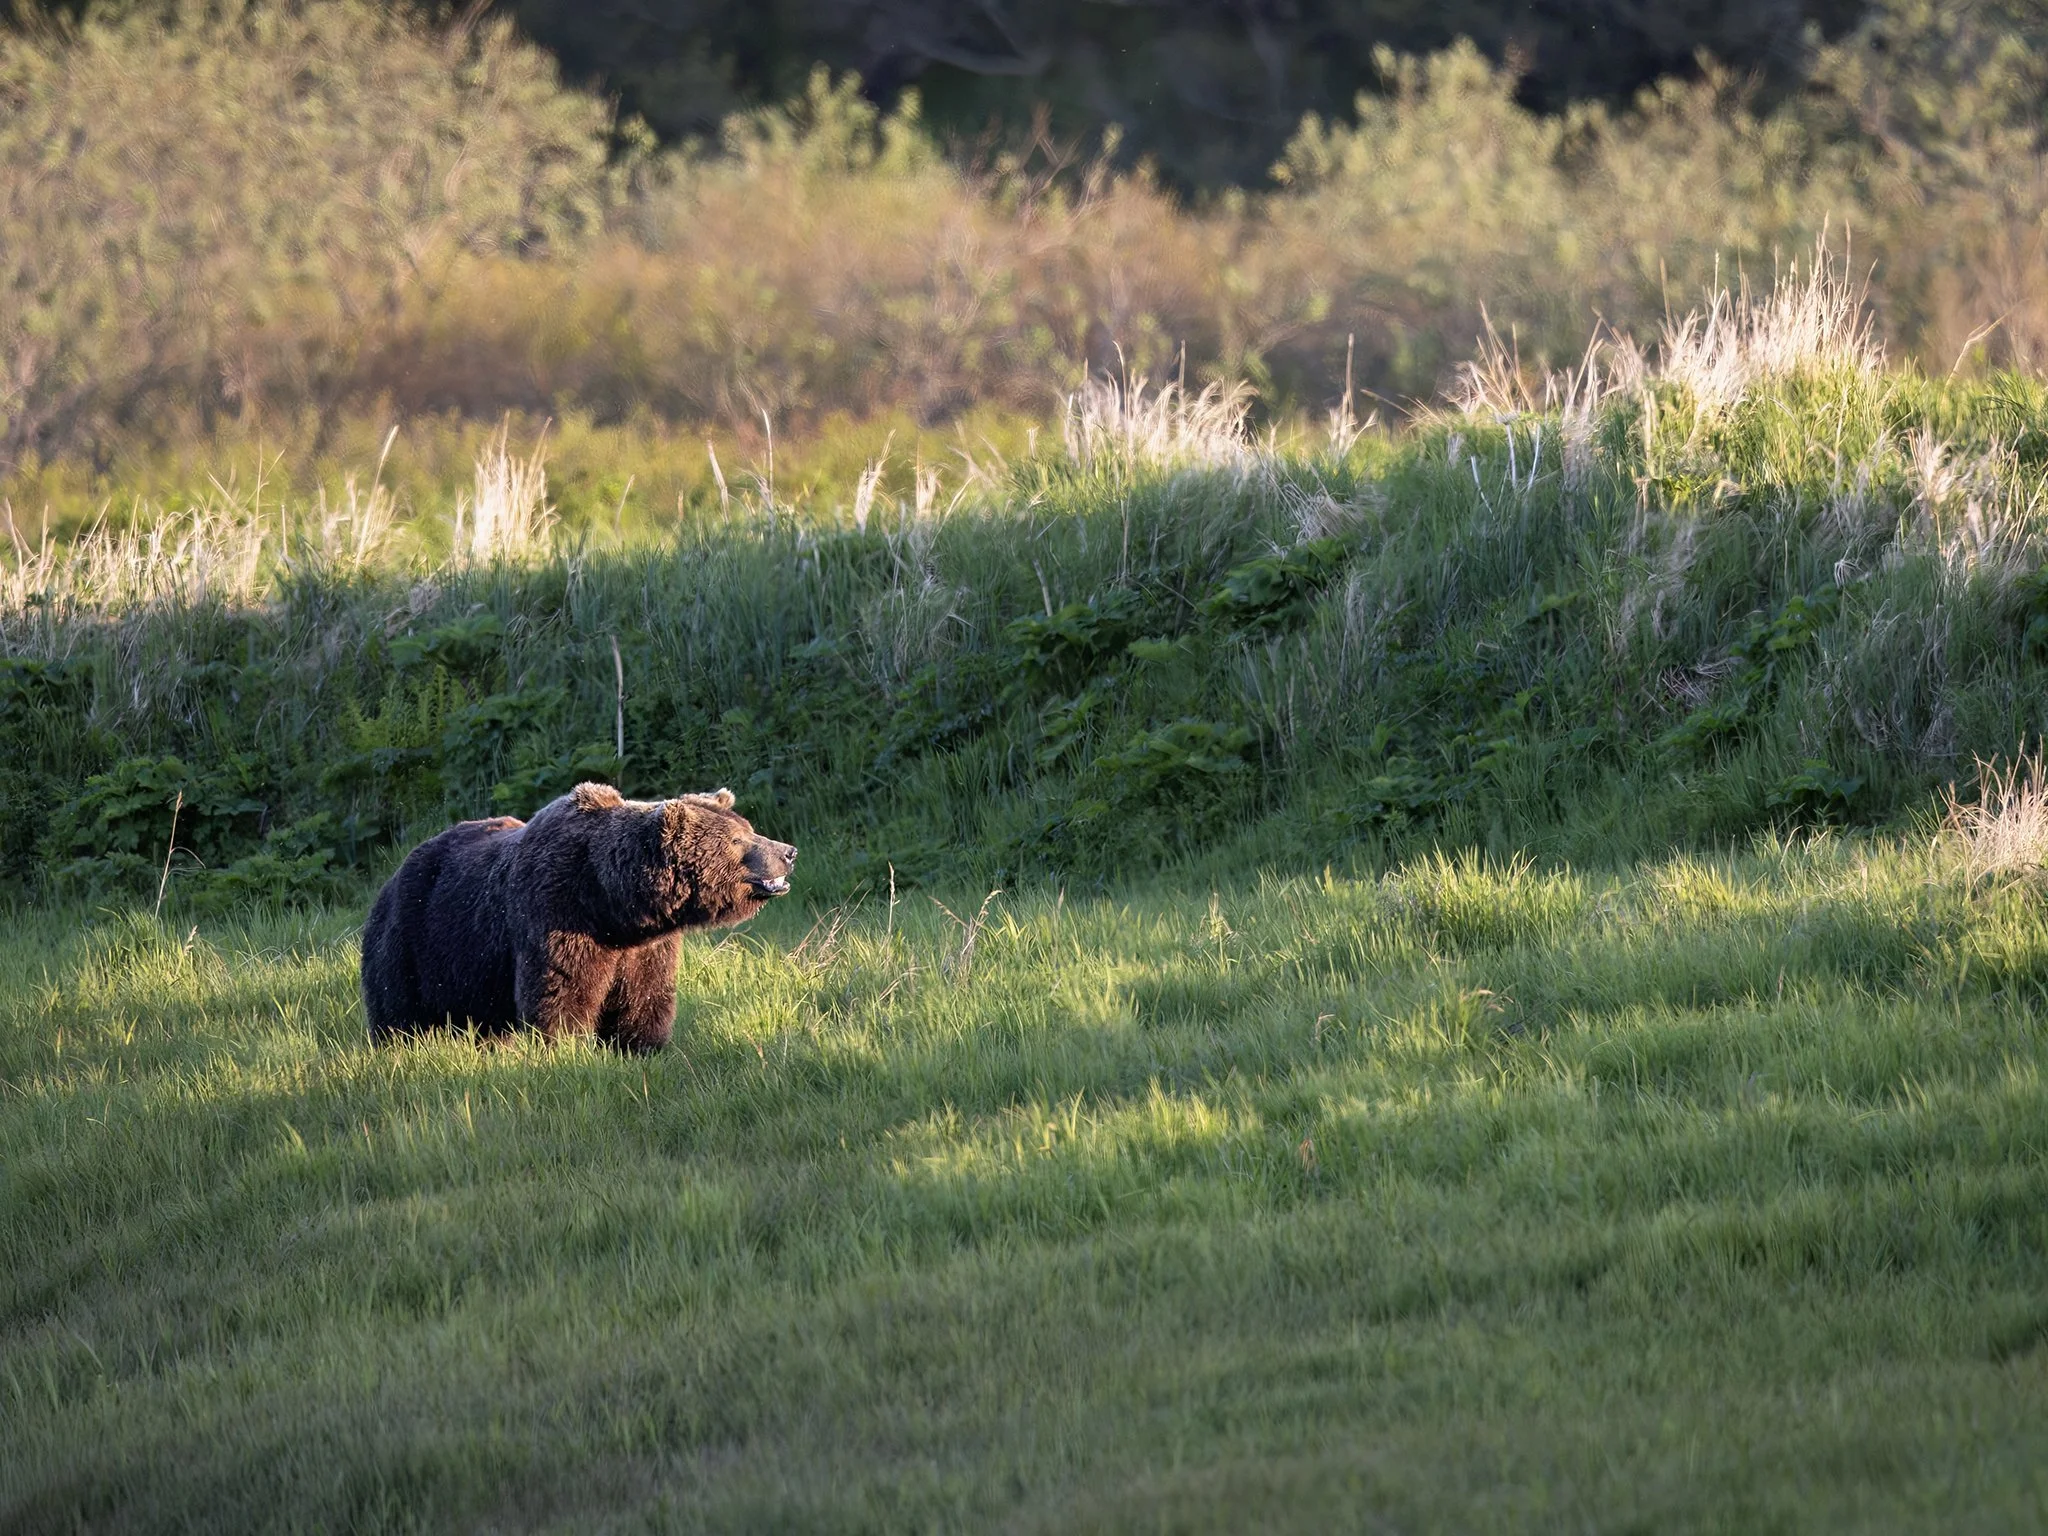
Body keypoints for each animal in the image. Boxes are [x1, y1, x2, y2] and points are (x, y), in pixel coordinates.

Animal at [361, 783, 796, 1052]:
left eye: (749, 828)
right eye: (737, 840)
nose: (788, 851)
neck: (608, 903)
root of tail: (393, 874)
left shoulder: (645, 947)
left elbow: (645, 996)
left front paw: (642, 1045)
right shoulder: (557, 912)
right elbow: (562, 992)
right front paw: (567, 1046)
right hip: (415, 938)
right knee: (398, 1010)